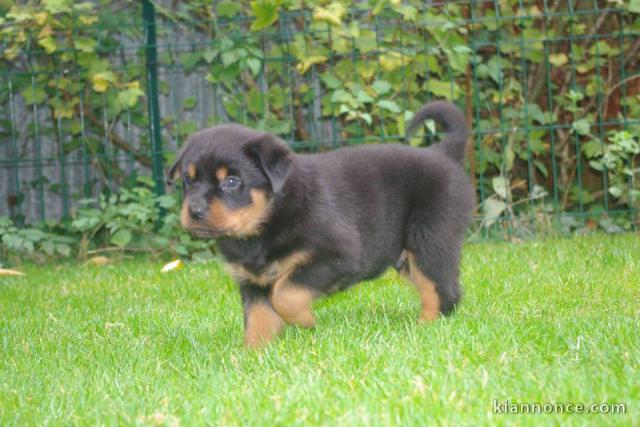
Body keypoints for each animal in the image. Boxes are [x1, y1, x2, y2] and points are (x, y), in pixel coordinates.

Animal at [166, 101, 476, 348]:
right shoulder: (252, 280)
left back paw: (425, 329)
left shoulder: (338, 255)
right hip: (406, 257)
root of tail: (443, 152)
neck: (266, 222)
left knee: (442, 290)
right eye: (188, 180)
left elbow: (285, 293)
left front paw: (304, 321)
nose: (194, 211)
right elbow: (258, 318)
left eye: (231, 182)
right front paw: (250, 355)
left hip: (430, 240)